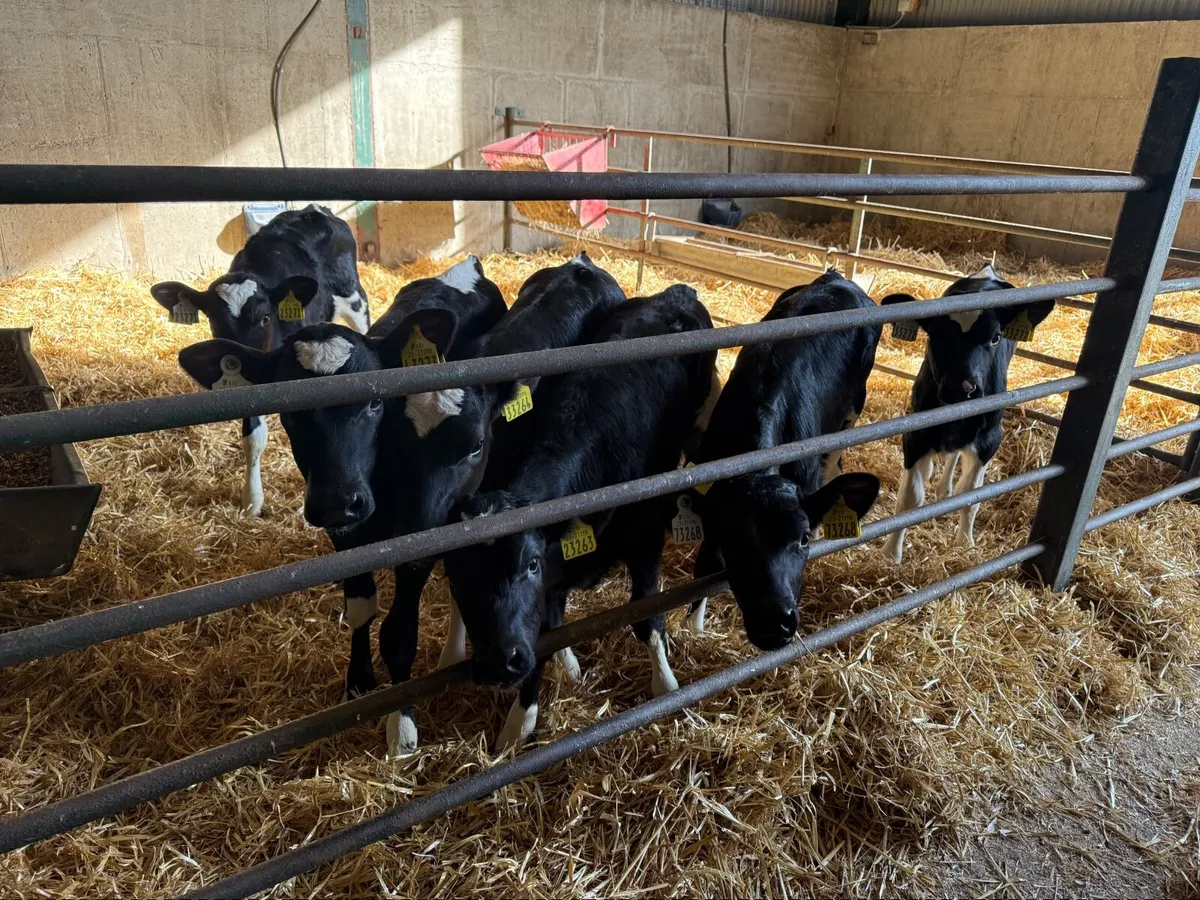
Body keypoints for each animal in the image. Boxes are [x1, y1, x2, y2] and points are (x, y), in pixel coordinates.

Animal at [152, 204, 370, 517]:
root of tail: (312, 209)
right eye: (214, 321)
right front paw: (252, 499)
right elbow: (253, 439)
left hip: (355, 299)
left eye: (266, 317)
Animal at [177, 256, 506, 756]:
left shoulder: (420, 533)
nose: (337, 500)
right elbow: (360, 610)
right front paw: (359, 680)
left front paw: (400, 726)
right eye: (290, 411)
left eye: (374, 402)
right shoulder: (344, 533)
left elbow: (399, 634)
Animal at [443, 284, 718, 751]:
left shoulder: (646, 540)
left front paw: (666, 688)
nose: (498, 662)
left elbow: (649, 618)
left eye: (531, 564)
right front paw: (519, 725)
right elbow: (545, 635)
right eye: (458, 579)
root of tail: (675, 291)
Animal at [685, 270, 882, 652]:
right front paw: (695, 626)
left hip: (854, 406)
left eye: (802, 539)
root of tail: (837, 277)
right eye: (732, 539)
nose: (773, 623)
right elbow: (705, 565)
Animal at [878, 264, 1055, 563]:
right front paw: (892, 554)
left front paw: (965, 545)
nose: (961, 388)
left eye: (995, 338)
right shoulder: (915, 434)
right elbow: (909, 500)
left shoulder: (990, 439)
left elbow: (969, 497)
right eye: (934, 336)